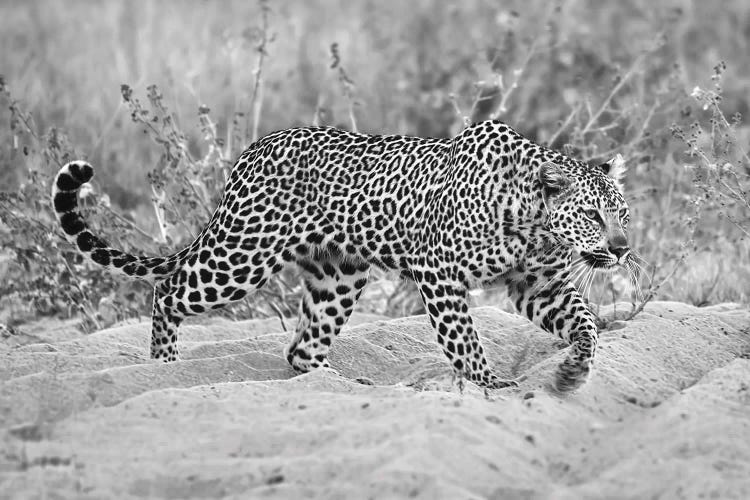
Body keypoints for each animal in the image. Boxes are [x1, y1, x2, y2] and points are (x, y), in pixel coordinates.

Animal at [54, 119, 640, 392]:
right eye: (592, 216)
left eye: (624, 214)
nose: (622, 248)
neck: (533, 221)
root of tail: (250, 152)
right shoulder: (440, 273)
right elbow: (465, 340)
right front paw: (487, 384)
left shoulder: (539, 286)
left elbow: (585, 324)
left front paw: (573, 375)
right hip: (241, 256)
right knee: (168, 289)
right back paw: (163, 368)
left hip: (338, 275)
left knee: (302, 348)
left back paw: (336, 386)